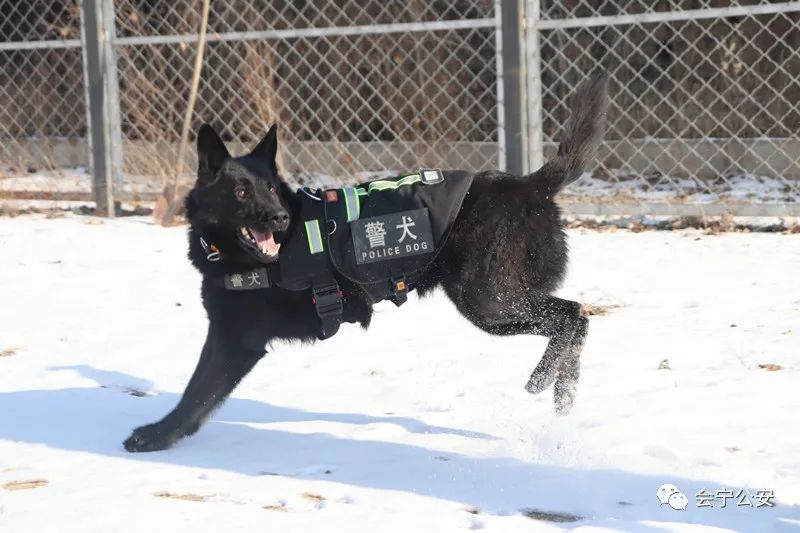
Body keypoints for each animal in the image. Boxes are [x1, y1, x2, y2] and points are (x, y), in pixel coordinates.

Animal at [123, 72, 608, 450]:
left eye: (271, 190)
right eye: (242, 192)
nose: (279, 217)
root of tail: (530, 185)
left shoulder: (235, 340)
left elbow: (196, 392)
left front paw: (158, 435)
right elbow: (198, 391)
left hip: (486, 300)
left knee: (573, 314)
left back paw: (548, 381)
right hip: (494, 301)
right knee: (577, 318)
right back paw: (566, 390)